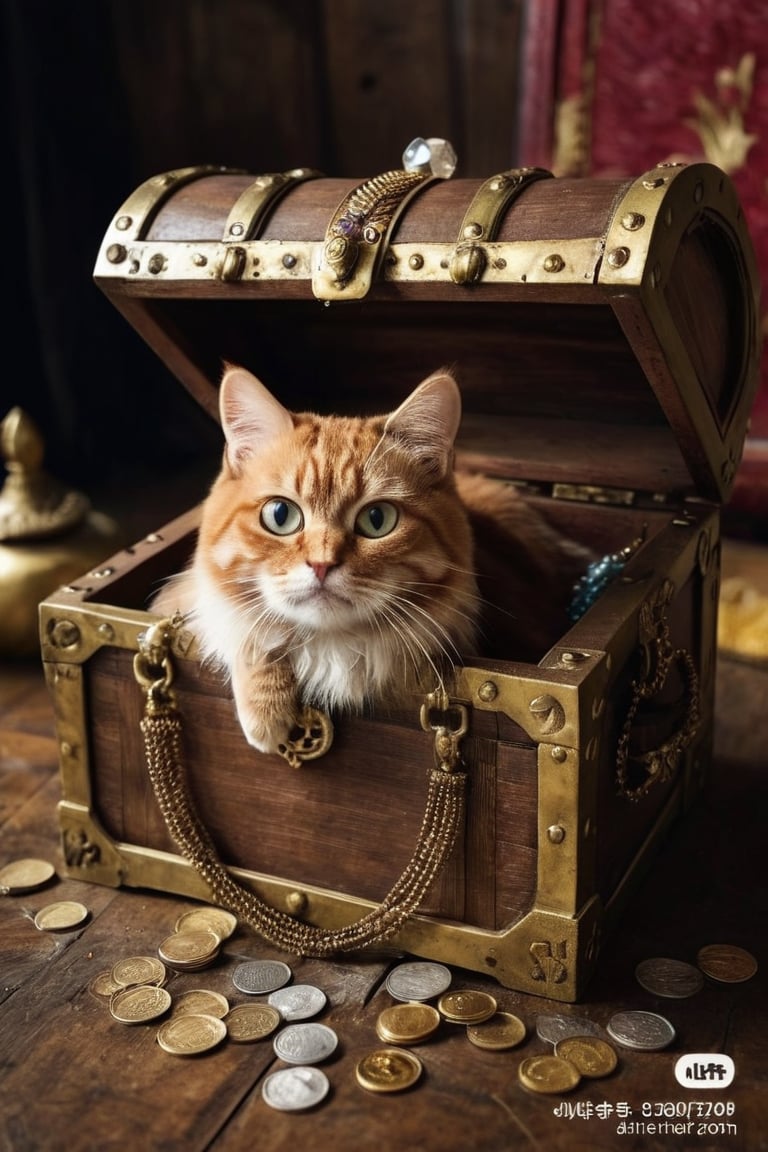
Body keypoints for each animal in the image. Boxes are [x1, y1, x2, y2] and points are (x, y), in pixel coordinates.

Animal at [153, 364, 594, 751]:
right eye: (280, 516)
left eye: (377, 520)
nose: (321, 564)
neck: (333, 647)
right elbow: (244, 627)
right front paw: (266, 709)